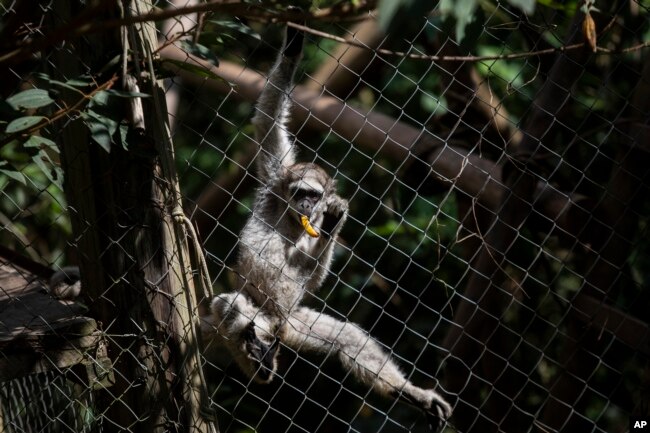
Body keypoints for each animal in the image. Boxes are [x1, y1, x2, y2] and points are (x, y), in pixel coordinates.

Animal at [208, 22, 450, 426]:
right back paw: (258, 358)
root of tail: (277, 325)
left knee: (347, 339)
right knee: (228, 304)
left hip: (294, 323)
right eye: (300, 192)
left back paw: (406, 393)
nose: (307, 204)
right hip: (263, 314)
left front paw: (335, 222)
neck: (293, 217)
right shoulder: (276, 181)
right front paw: (292, 45)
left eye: (314, 195)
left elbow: (316, 275)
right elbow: (269, 120)